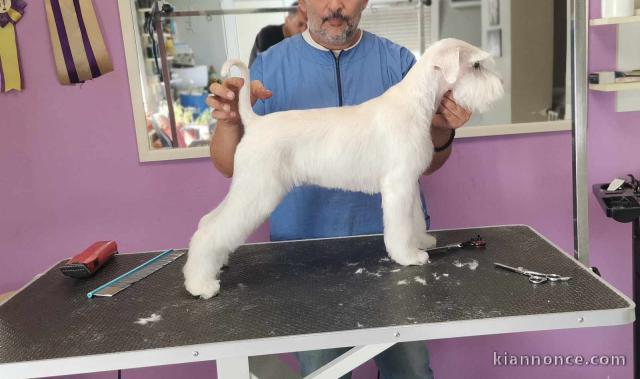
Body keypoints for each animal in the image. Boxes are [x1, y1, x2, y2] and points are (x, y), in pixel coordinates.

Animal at [182, 38, 502, 300]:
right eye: (476, 65)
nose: (499, 85)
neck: (417, 103)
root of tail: (254, 122)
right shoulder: (398, 186)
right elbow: (400, 228)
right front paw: (408, 256)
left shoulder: (409, 184)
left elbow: (413, 220)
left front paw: (420, 241)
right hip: (256, 191)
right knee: (211, 231)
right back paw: (200, 284)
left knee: (208, 222)